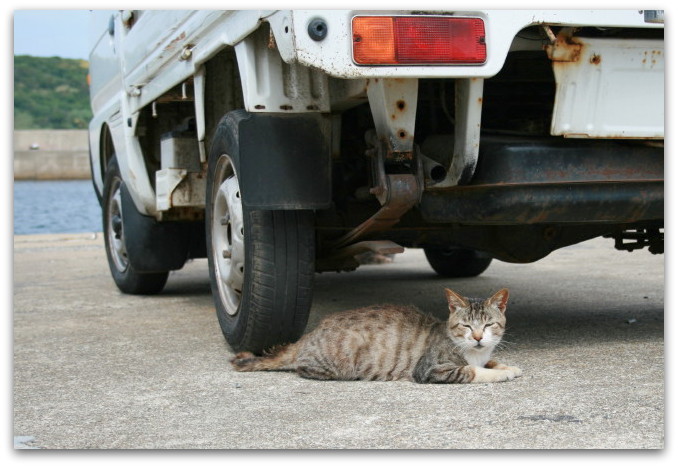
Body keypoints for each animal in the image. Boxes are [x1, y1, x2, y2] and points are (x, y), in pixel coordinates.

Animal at [231, 288, 524, 384]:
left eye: (488, 325)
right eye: (466, 326)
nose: (477, 337)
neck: (473, 352)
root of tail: (309, 334)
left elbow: (490, 362)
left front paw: (508, 366)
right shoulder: (432, 369)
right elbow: (473, 371)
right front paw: (499, 374)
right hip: (339, 363)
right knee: (303, 368)